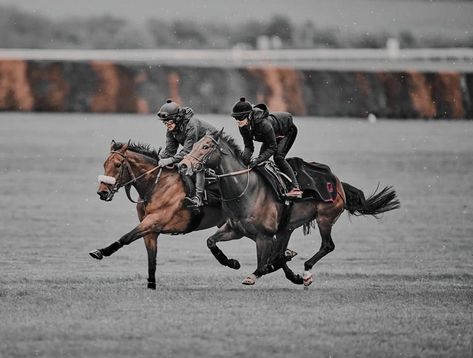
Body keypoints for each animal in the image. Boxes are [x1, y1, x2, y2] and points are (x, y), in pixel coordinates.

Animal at [90, 140, 300, 288]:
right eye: (104, 164)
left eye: (118, 165)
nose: (102, 192)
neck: (157, 185)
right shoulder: (151, 231)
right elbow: (152, 258)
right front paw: (151, 285)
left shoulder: (153, 221)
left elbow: (126, 237)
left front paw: (101, 251)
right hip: (243, 227)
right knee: (274, 247)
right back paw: (294, 274)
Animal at [179, 130, 400, 286]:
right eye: (195, 144)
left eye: (206, 146)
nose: (183, 165)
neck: (245, 190)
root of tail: (337, 182)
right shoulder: (235, 229)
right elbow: (211, 242)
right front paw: (232, 262)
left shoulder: (264, 236)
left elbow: (264, 263)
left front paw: (258, 273)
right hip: (288, 227)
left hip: (325, 218)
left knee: (327, 245)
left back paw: (306, 270)